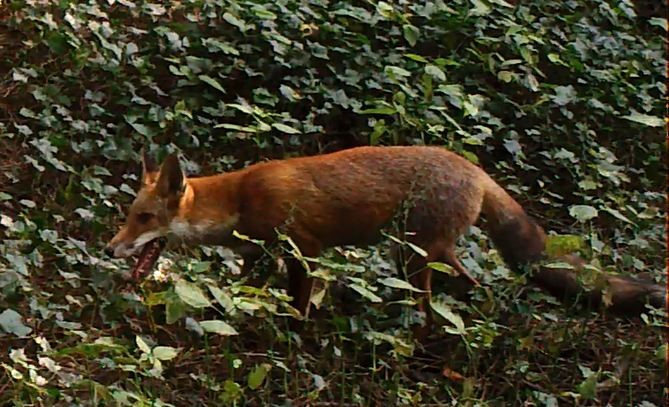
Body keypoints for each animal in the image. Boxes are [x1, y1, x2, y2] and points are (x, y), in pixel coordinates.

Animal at [106, 146, 664, 332]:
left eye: (144, 217)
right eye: (128, 215)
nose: (110, 249)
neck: (242, 196)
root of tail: (475, 169)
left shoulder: (305, 249)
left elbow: (298, 306)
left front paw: (292, 338)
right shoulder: (265, 254)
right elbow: (249, 294)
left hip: (414, 258)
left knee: (435, 306)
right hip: (428, 255)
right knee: (474, 291)